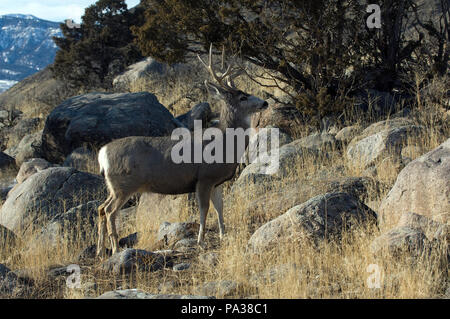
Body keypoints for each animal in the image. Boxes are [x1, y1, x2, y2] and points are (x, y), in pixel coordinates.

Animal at [96, 45, 268, 258]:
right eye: (243, 97)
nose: (265, 103)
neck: (224, 143)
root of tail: (102, 153)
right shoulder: (204, 178)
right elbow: (204, 209)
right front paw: (201, 241)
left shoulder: (217, 181)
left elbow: (220, 207)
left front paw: (223, 235)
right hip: (124, 185)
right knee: (110, 211)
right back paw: (116, 248)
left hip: (114, 186)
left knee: (100, 208)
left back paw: (100, 251)